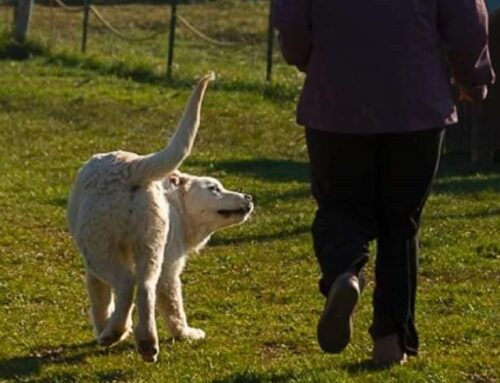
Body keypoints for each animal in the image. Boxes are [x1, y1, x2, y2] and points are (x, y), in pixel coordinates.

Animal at [67, 73, 254, 364]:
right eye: (214, 188)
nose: (248, 197)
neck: (177, 204)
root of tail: (129, 167)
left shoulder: (94, 270)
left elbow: (100, 300)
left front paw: (102, 326)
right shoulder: (169, 265)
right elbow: (171, 305)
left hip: (99, 249)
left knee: (126, 284)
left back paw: (115, 333)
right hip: (150, 246)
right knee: (145, 288)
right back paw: (146, 343)